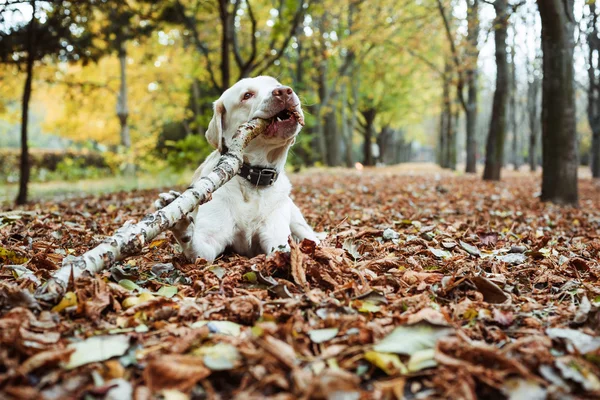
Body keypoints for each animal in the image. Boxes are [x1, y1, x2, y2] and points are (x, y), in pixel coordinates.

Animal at [157, 75, 322, 262]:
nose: (284, 91)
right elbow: (194, 247)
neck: (254, 179)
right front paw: (179, 220)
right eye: (247, 95)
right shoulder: (208, 244)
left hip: (297, 219)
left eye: (277, 84)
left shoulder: (277, 236)